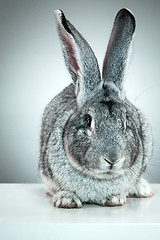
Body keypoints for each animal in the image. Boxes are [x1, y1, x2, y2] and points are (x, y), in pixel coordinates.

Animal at [38, 8, 152, 208]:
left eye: (126, 121)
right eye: (88, 121)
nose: (113, 159)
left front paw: (115, 198)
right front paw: (67, 200)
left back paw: (142, 189)